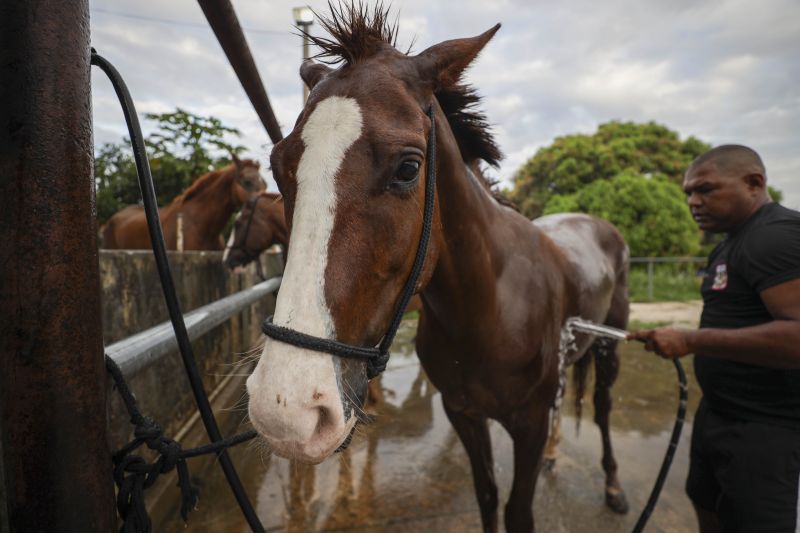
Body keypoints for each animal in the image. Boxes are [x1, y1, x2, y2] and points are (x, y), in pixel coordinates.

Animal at [244, 6, 632, 528]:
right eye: (278, 165)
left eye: (409, 168)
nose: (286, 410)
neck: (490, 308)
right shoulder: (462, 413)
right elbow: (487, 495)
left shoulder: (527, 425)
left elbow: (517, 511)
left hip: (610, 347)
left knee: (604, 410)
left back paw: (613, 486)